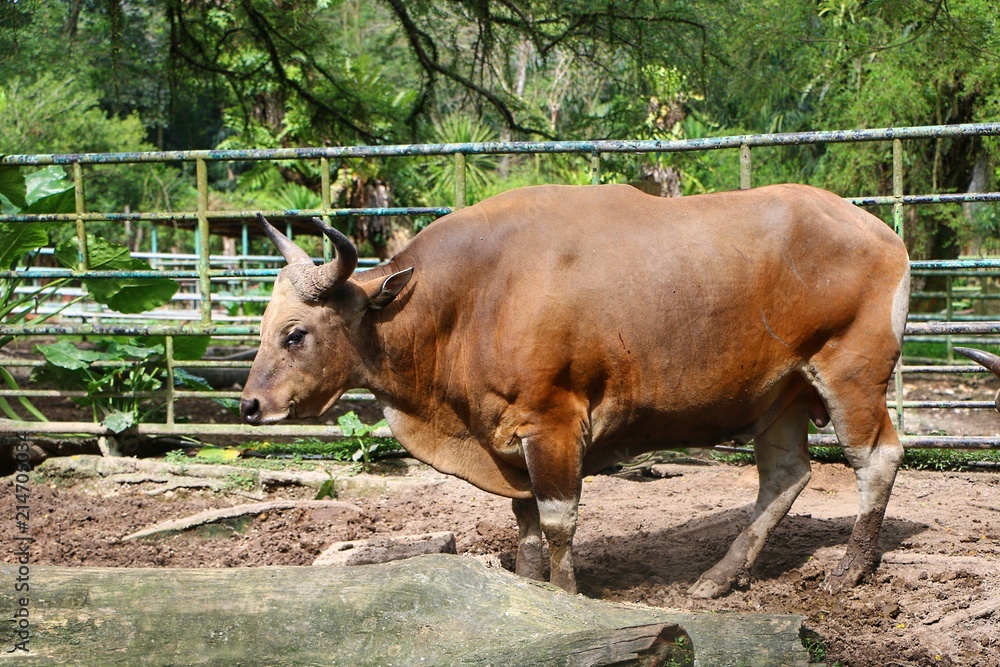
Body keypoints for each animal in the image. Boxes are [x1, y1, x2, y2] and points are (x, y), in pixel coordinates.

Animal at [240, 183, 911, 598]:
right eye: (265, 327)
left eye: (295, 333)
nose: (250, 405)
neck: (470, 299)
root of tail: (883, 234)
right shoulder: (508, 434)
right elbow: (526, 523)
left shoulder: (553, 422)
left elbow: (558, 521)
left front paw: (566, 594)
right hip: (781, 395)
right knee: (786, 475)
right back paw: (721, 576)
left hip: (851, 374)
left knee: (877, 456)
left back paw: (851, 568)